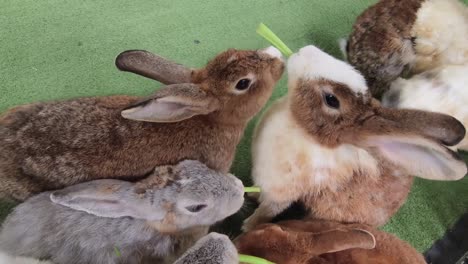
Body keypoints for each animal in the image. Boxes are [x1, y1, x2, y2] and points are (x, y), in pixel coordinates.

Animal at [243, 44, 466, 231]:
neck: (303, 130)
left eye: (332, 100)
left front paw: (247, 226)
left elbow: (264, 213)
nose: (305, 50)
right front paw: (251, 195)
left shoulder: (279, 197)